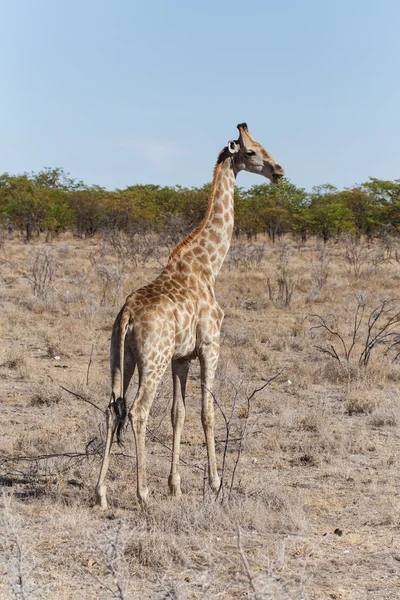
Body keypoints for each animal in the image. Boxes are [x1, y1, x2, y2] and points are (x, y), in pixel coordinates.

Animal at [95, 124, 284, 508]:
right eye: (253, 152)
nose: (279, 171)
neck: (209, 265)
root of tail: (127, 315)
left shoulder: (180, 358)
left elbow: (177, 414)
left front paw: (176, 485)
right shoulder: (211, 345)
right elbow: (206, 412)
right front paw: (214, 483)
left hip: (122, 357)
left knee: (111, 408)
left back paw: (102, 493)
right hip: (151, 361)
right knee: (137, 411)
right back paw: (142, 494)